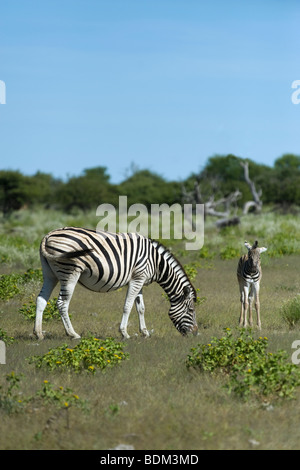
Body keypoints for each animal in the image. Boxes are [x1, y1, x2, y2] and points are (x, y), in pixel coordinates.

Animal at [32, 227, 198, 340]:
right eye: (190, 310)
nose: (195, 333)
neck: (156, 262)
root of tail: (47, 236)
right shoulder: (137, 278)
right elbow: (127, 306)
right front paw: (124, 333)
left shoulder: (139, 279)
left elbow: (141, 308)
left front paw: (144, 332)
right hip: (70, 271)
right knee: (62, 303)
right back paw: (73, 334)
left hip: (50, 274)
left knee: (41, 299)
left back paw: (38, 333)